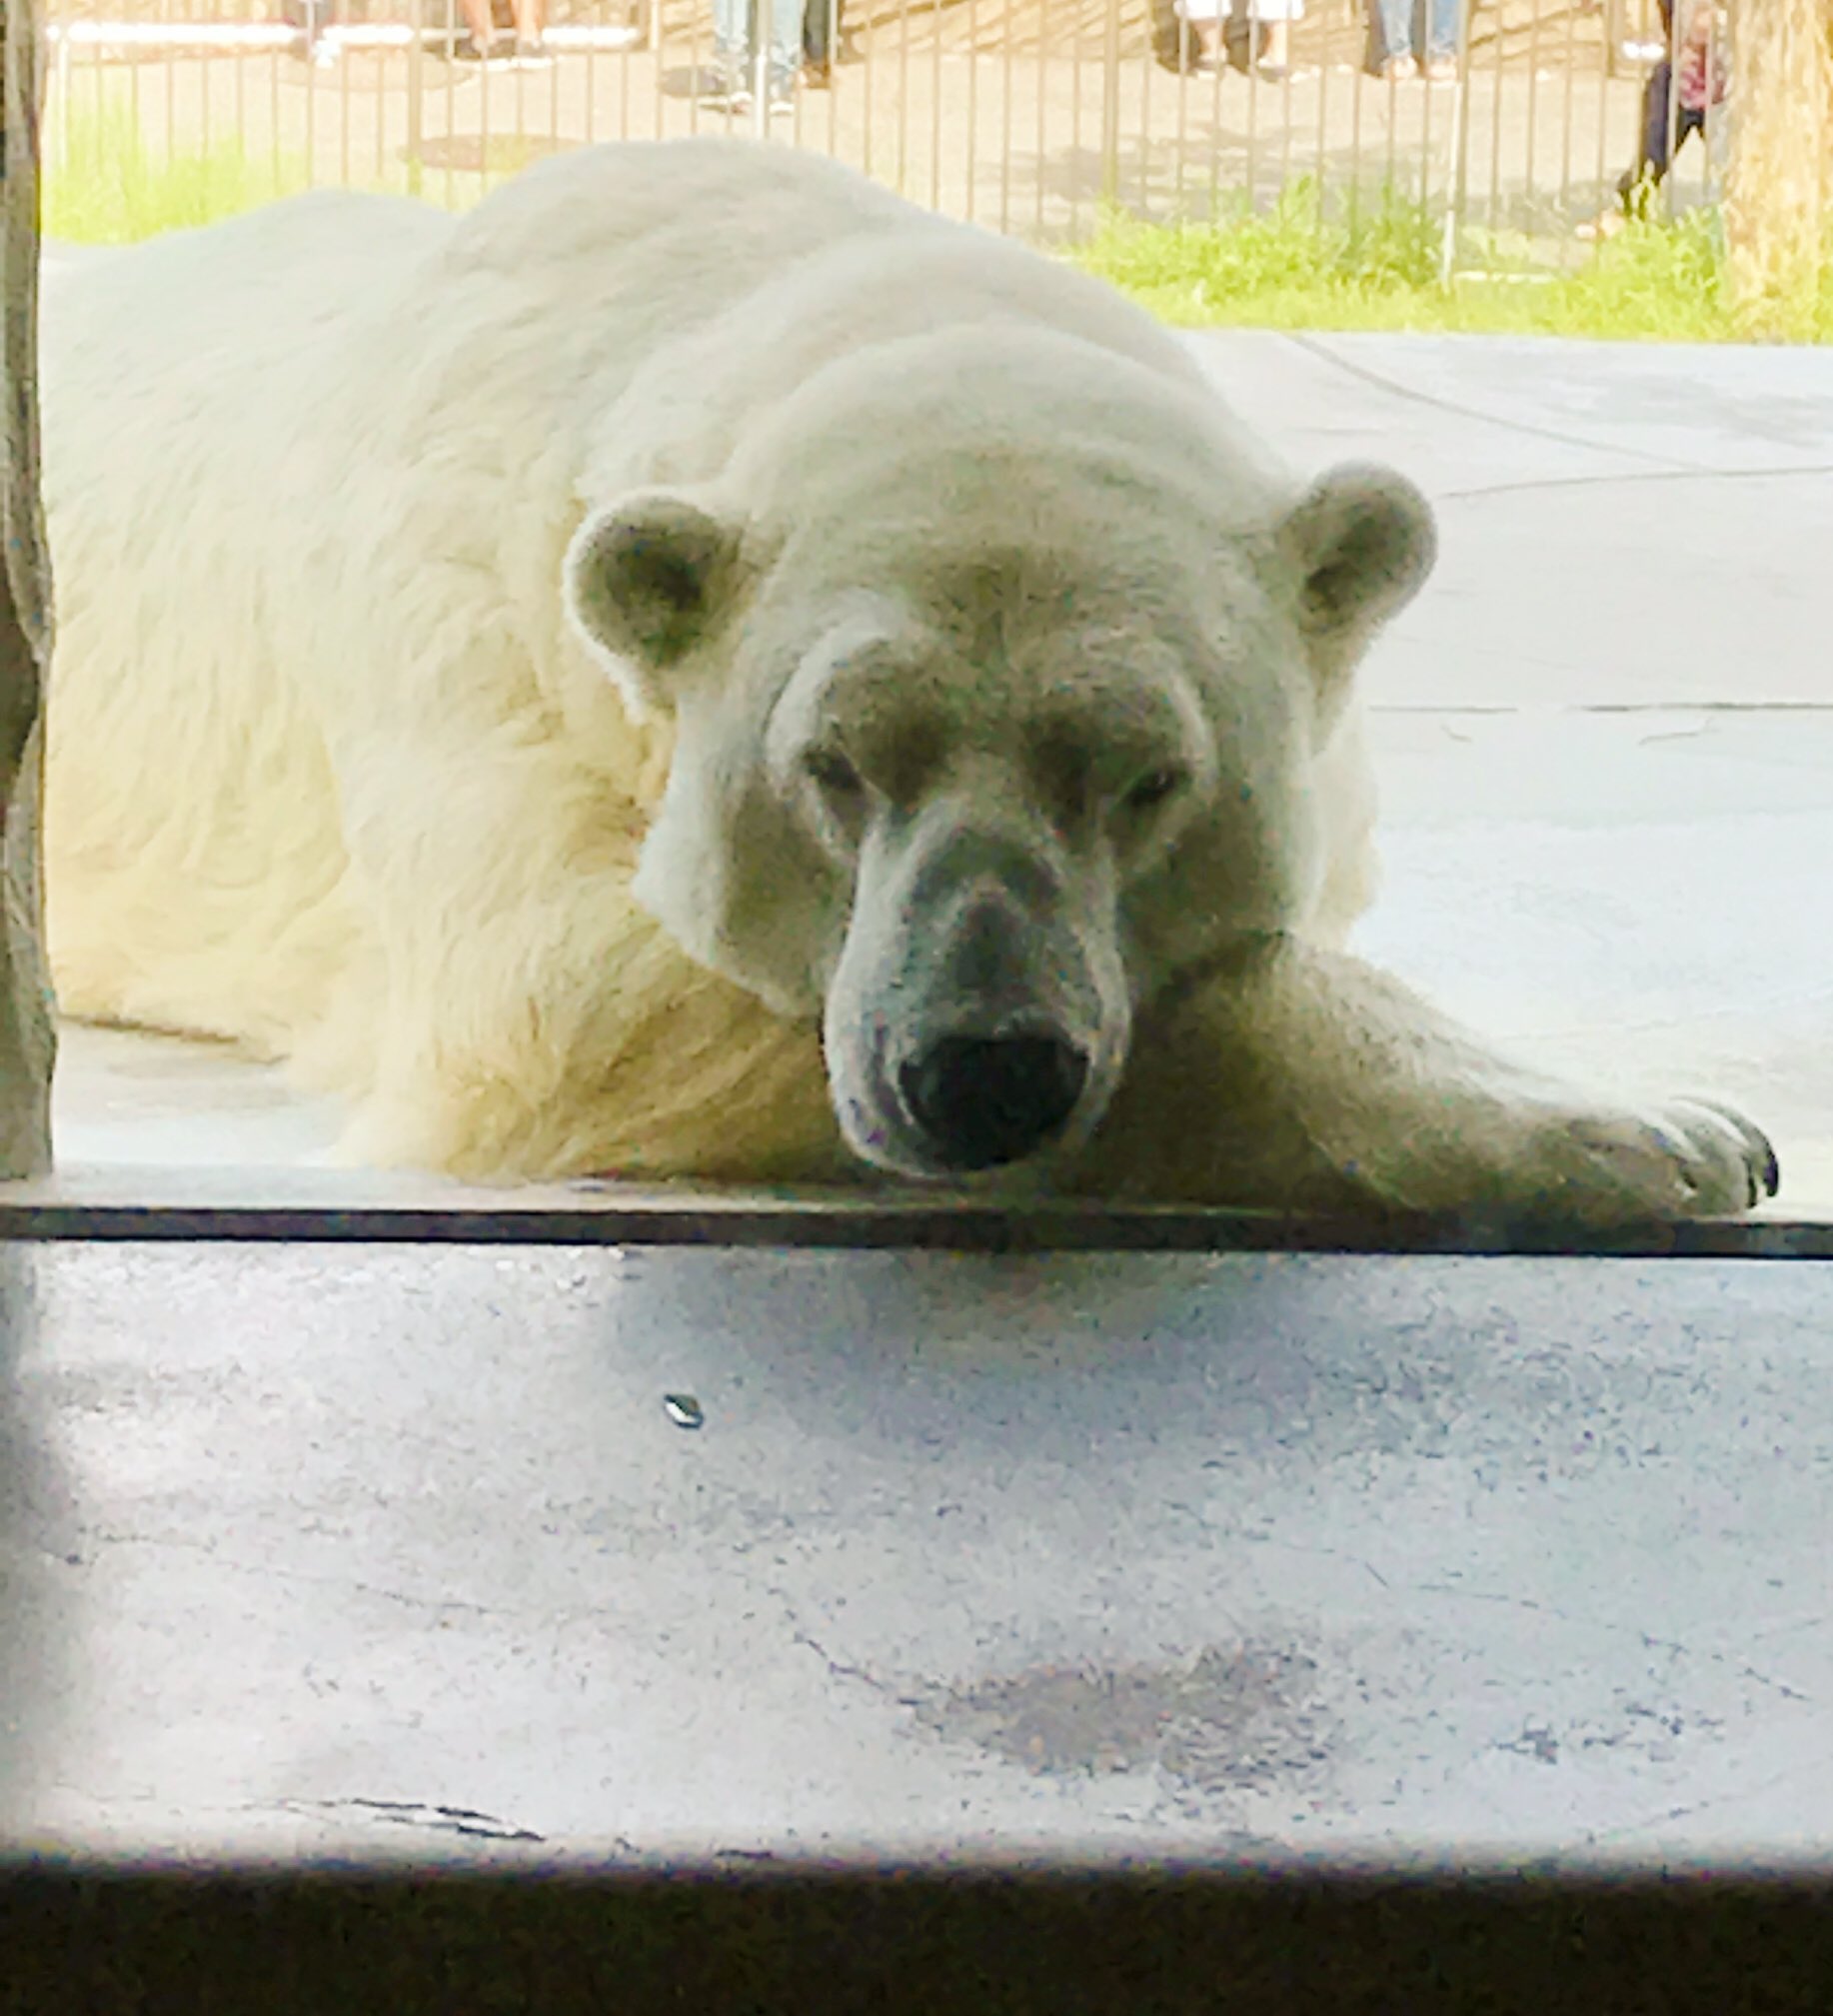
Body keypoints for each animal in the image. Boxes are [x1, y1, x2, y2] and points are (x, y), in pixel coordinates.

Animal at [37, 137, 1777, 1222]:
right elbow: (572, 1002)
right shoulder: (477, 641)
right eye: (830, 766)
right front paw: (1651, 1124)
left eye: (1150, 777)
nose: (981, 1070)